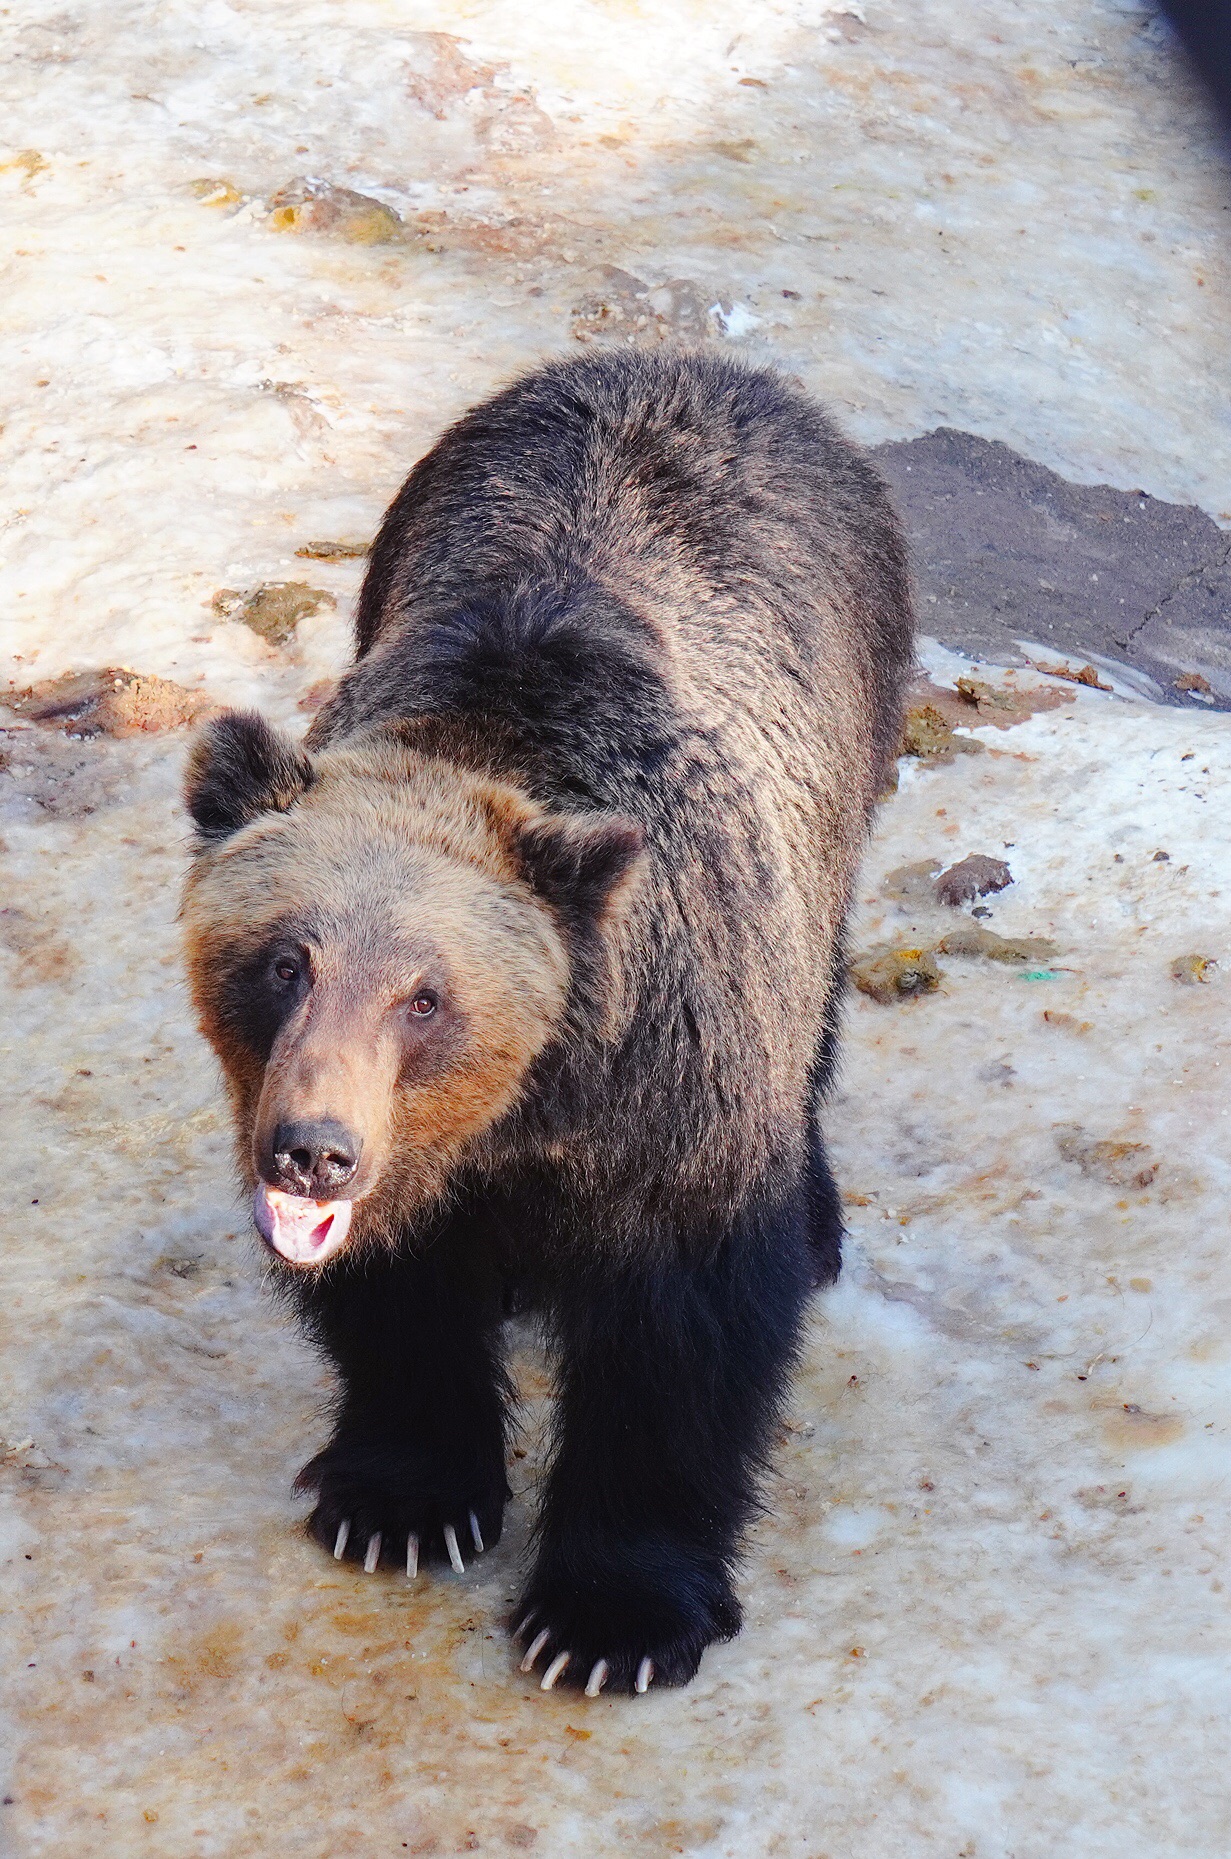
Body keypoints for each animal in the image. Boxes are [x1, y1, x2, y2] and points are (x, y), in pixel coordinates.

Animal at [183, 349, 914, 1702]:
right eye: (282, 960)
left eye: (425, 993)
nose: (312, 1151)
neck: (530, 1105)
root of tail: (702, 364)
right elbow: (398, 1299)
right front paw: (401, 1499)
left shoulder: (673, 1092)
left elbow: (680, 1339)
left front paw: (607, 1614)